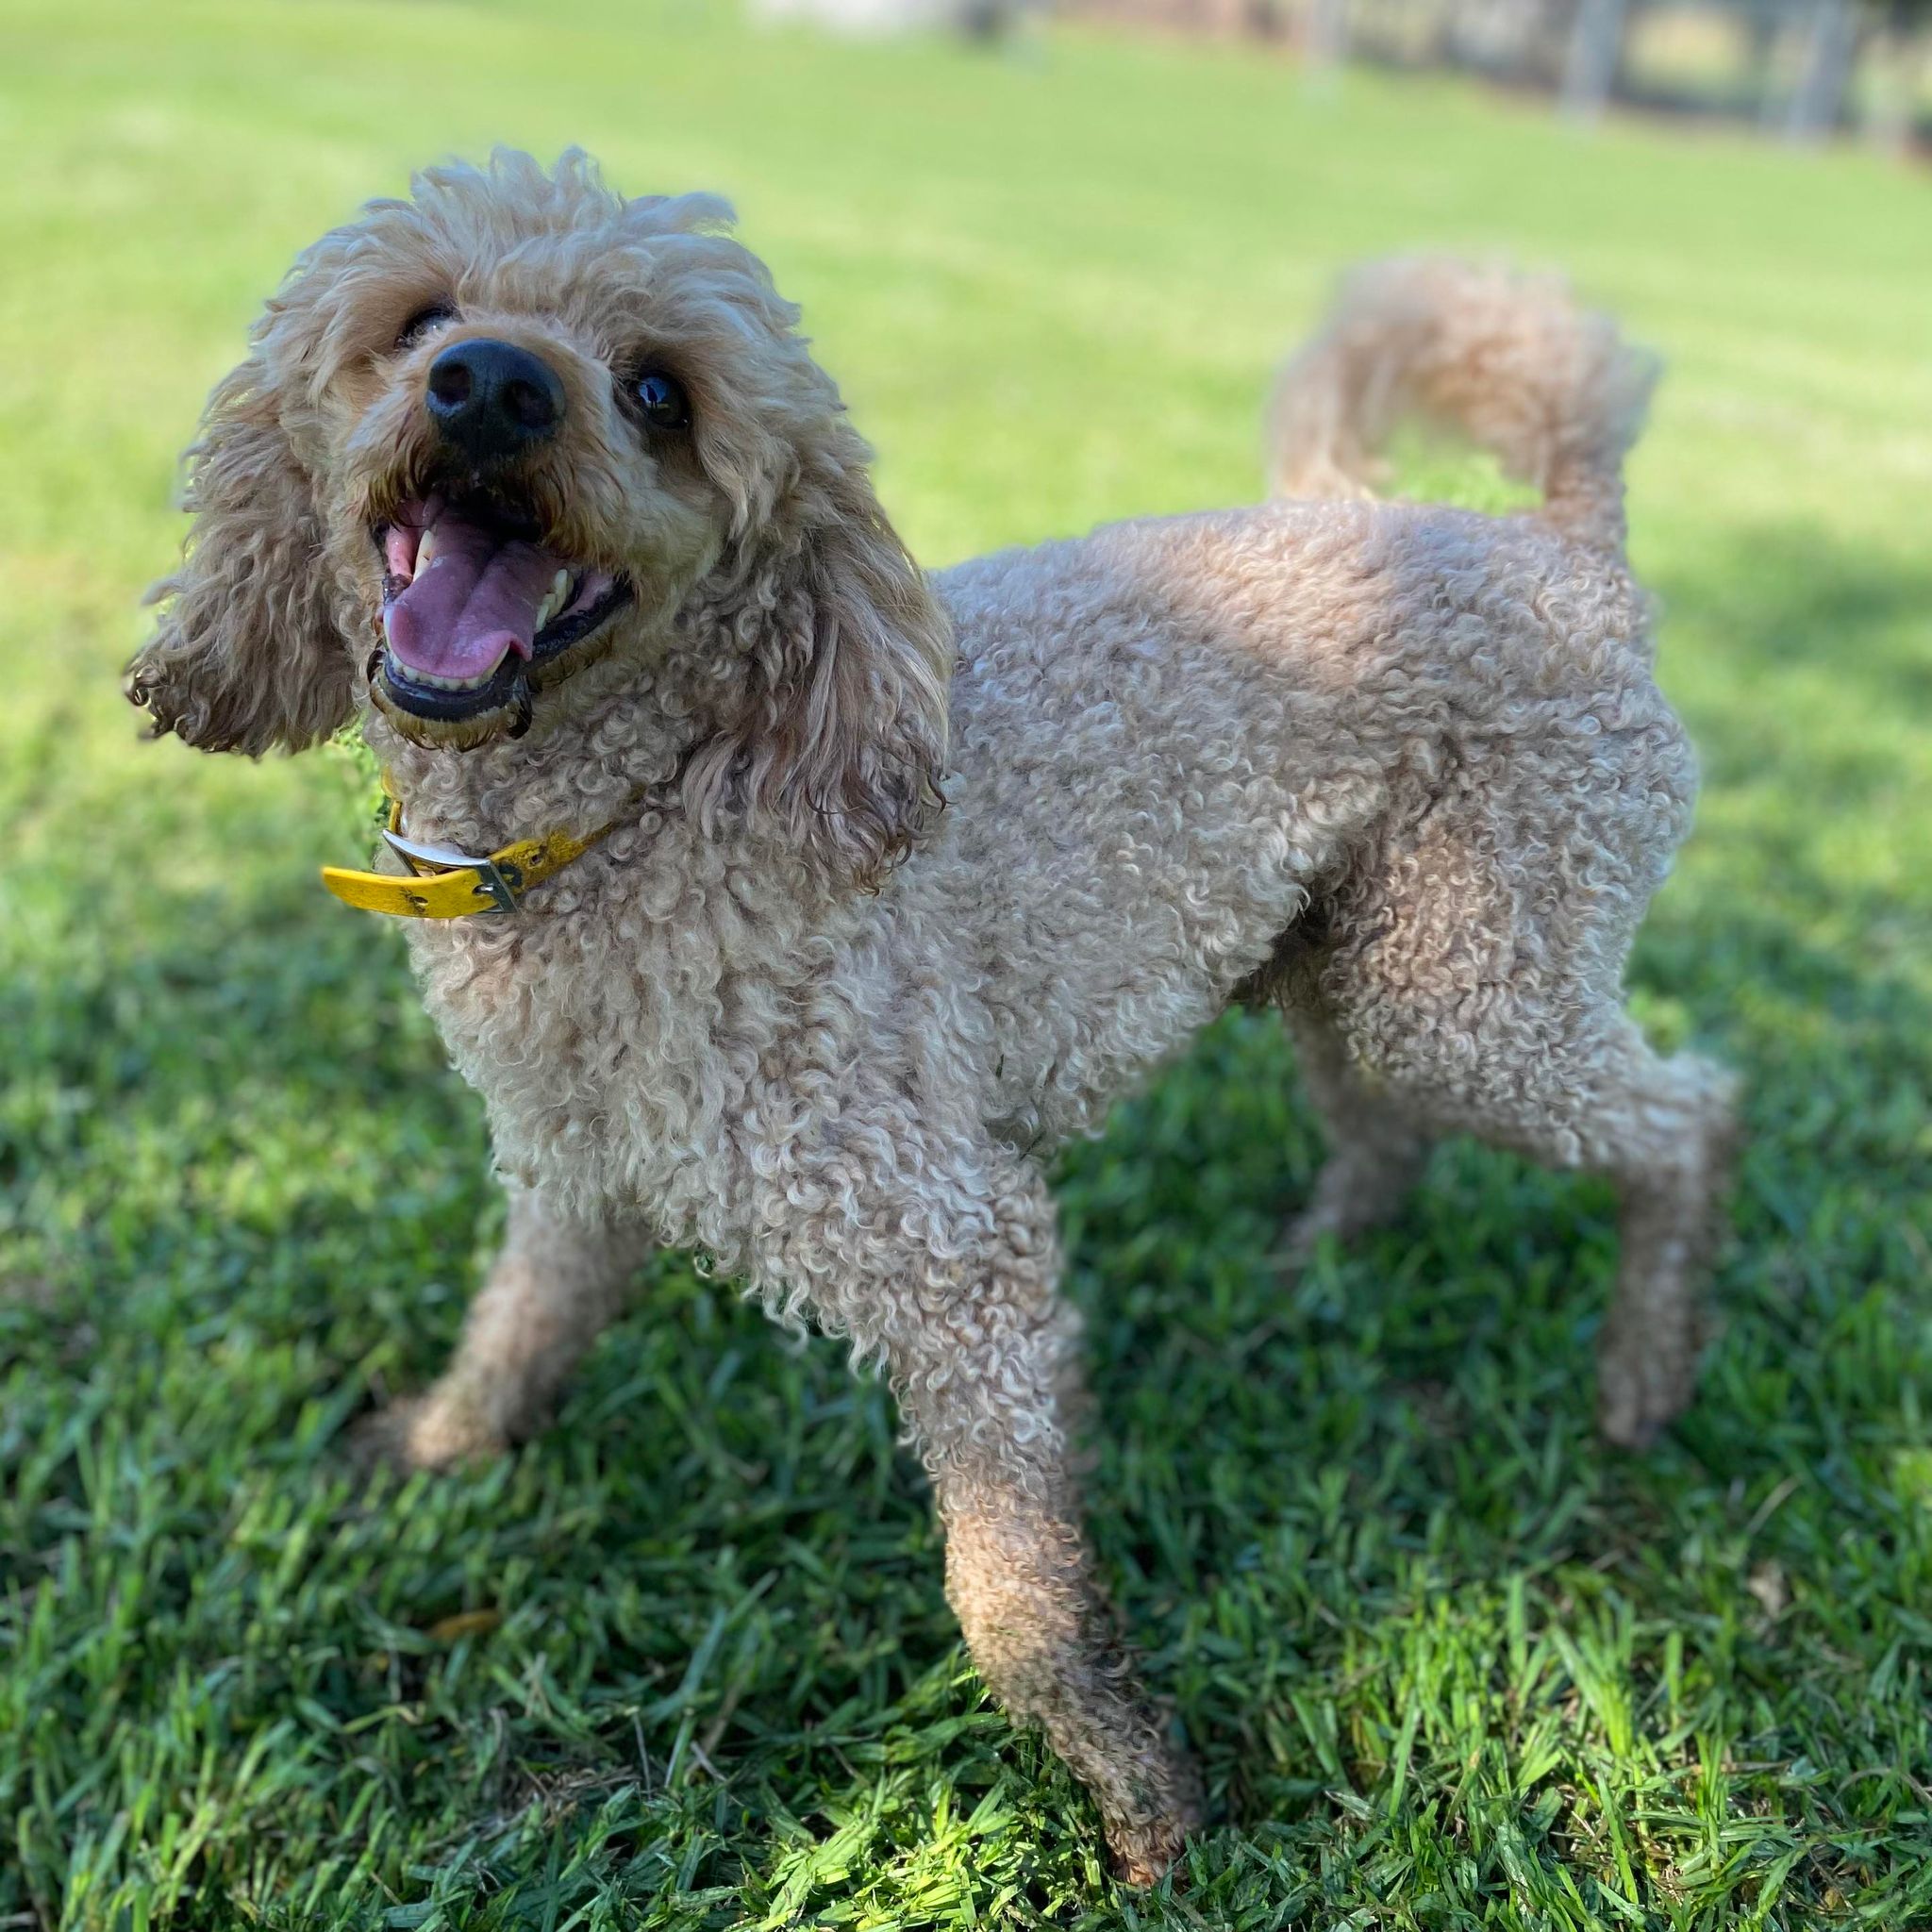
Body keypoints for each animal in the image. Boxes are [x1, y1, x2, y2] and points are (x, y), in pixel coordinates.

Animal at [132, 154, 1739, 1885]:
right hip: (1353, 950)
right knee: (1386, 1128)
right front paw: (437, 1447)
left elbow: (1013, 1604)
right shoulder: (581, 1166)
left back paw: (1646, 1376)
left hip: (1475, 977)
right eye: (418, 319)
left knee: (1692, 1120)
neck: (648, 805)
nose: (490, 385)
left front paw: (1143, 1800)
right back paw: (1318, 1265)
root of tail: (1560, 539)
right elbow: (517, 1326)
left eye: (659, 392)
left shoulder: (953, 1249)